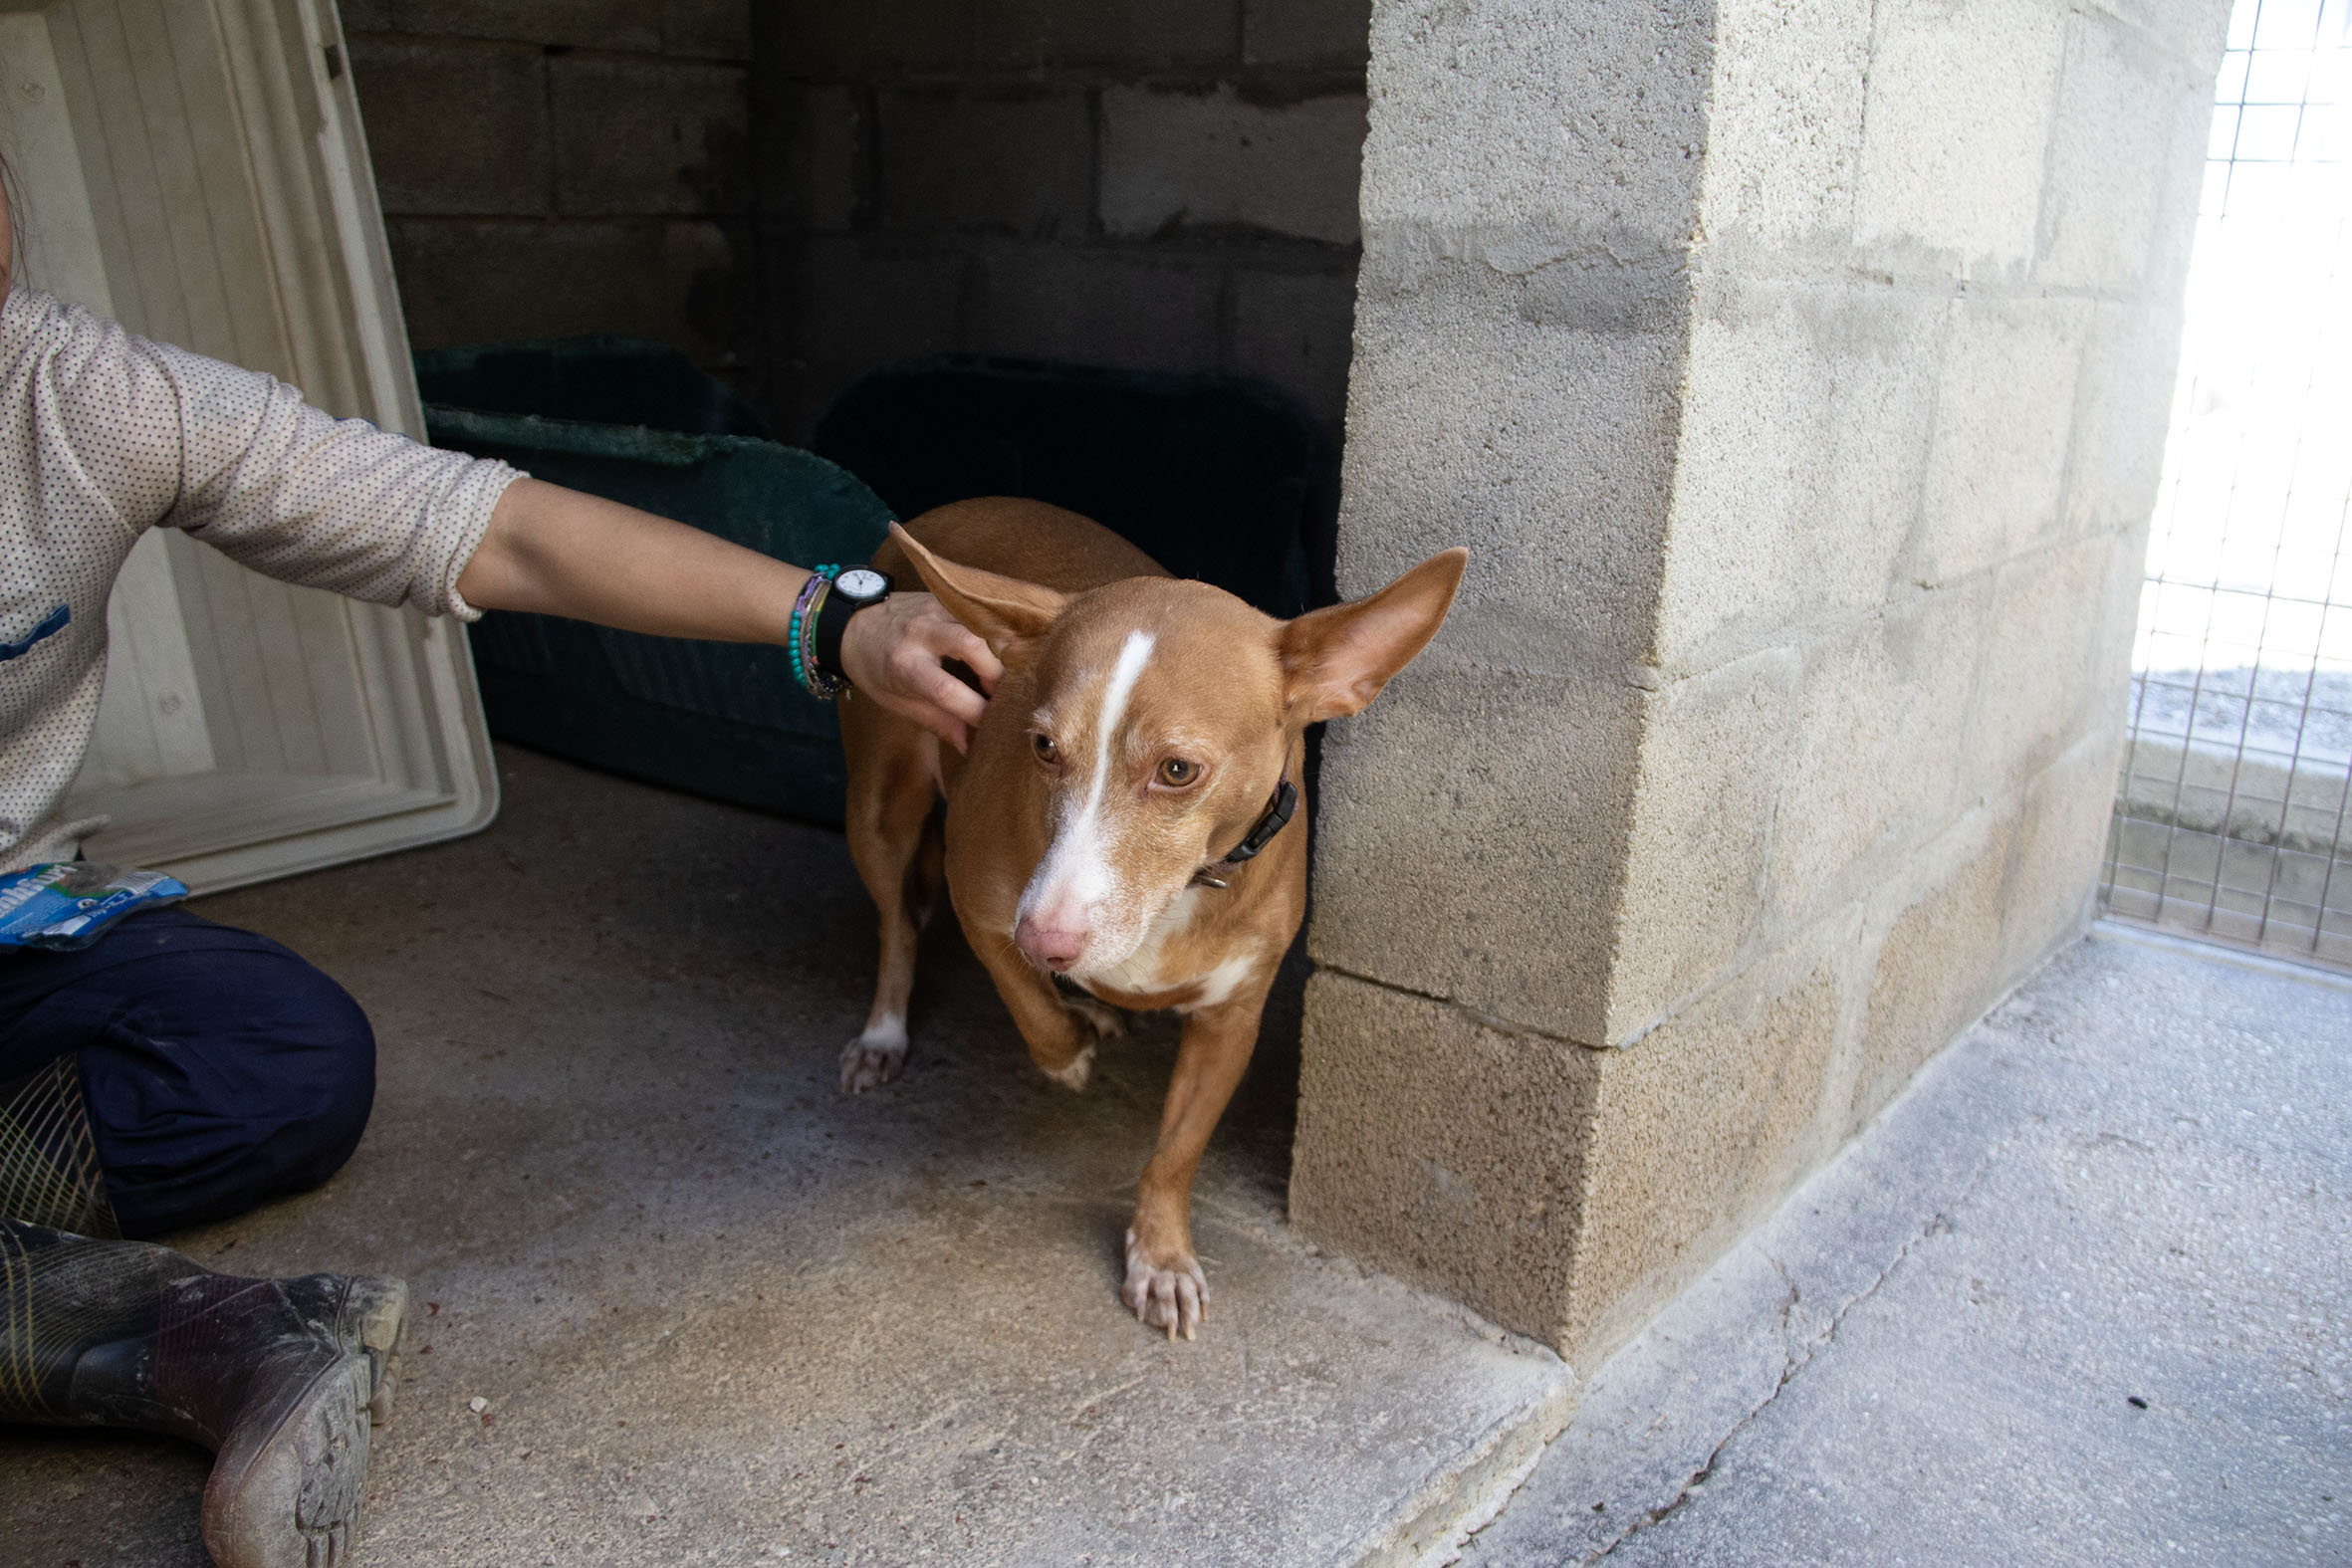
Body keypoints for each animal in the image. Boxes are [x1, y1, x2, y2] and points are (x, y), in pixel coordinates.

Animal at [836, 497, 1465, 1338]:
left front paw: (1161, 1256)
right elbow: (1031, 1008)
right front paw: (1069, 1045)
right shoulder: (984, 904)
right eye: (1042, 746)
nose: (1047, 938)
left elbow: (1176, 1151)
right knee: (897, 927)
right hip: (879, 805)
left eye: (1177, 770)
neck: (1178, 894)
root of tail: (958, 506)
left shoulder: (1233, 1017)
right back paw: (889, 1033)